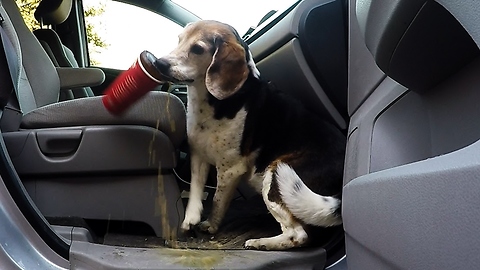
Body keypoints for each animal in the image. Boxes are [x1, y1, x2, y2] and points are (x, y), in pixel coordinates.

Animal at [154, 21, 344, 251]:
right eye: (180, 40)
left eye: (198, 49)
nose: (158, 63)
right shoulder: (198, 155)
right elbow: (196, 189)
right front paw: (191, 217)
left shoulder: (230, 170)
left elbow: (217, 200)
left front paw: (210, 225)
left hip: (276, 177)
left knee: (298, 235)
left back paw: (261, 243)